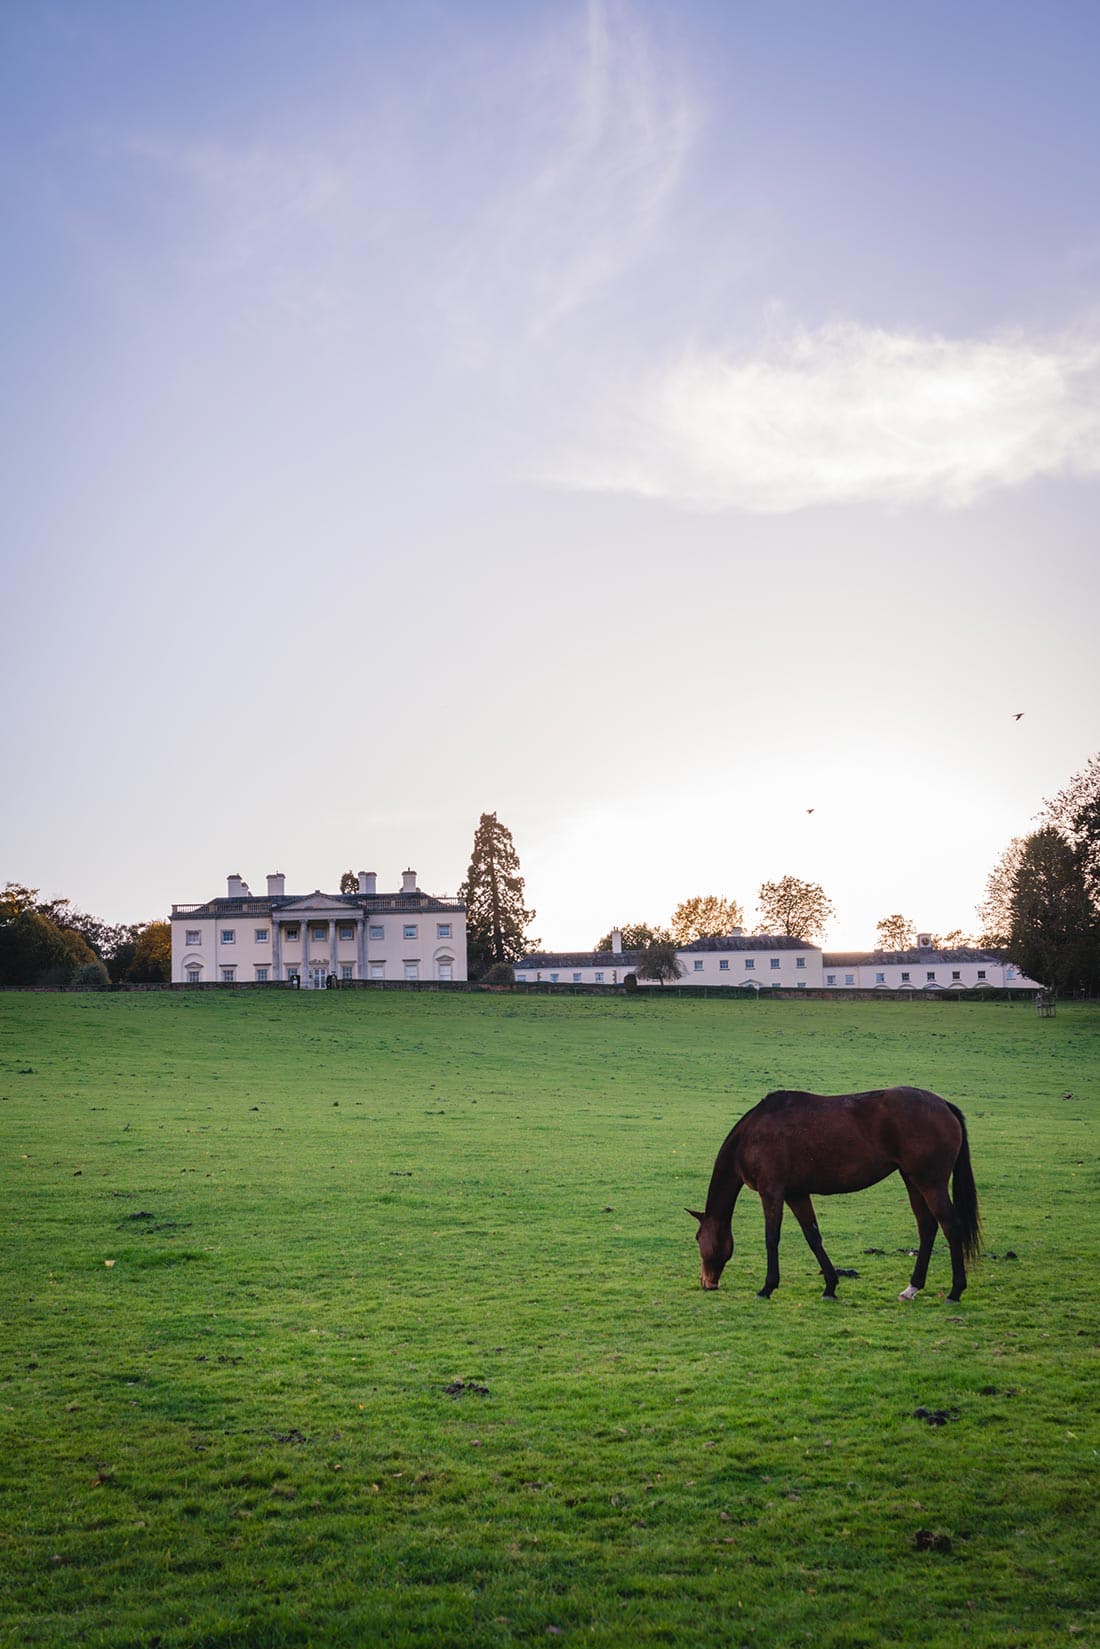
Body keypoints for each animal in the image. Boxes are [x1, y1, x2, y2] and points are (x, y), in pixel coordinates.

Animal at [692, 1088, 982, 1306]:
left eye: (698, 1238)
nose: (707, 1283)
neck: (753, 1133)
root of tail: (944, 1105)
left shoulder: (772, 1191)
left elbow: (772, 1238)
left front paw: (767, 1287)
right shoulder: (797, 1194)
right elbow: (813, 1236)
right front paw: (830, 1285)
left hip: (930, 1182)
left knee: (950, 1225)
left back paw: (955, 1291)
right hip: (913, 1180)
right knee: (927, 1227)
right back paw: (912, 1288)